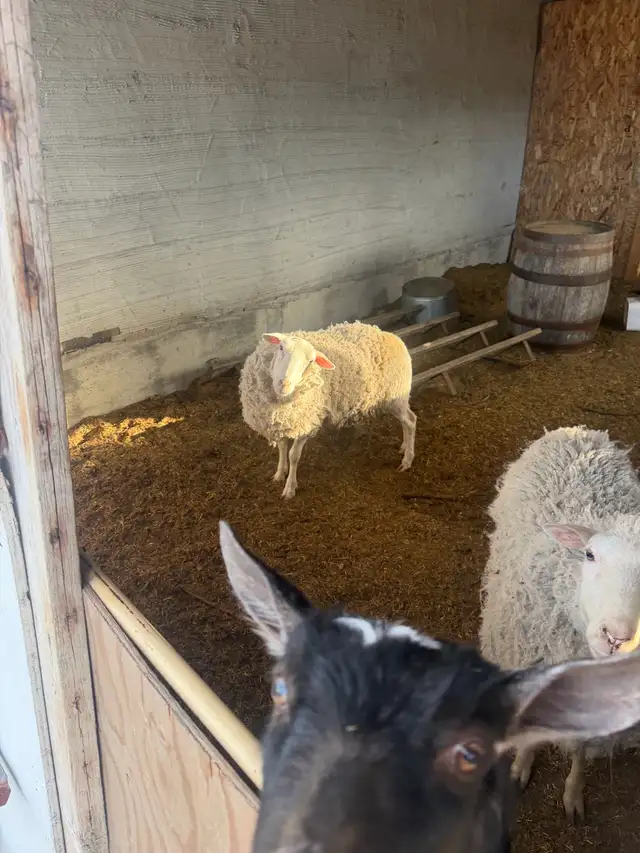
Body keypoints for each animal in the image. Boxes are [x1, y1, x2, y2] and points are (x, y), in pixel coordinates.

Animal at [239, 320, 416, 499]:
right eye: (281, 348)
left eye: (310, 362)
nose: (285, 384)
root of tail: (392, 336)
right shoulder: (282, 423)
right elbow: (282, 448)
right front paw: (280, 473)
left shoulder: (307, 423)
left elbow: (293, 455)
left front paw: (290, 488)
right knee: (407, 420)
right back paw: (404, 447)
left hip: (396, 395)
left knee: (410, 421)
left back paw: (407, 460)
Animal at [479, 425, 640, 822]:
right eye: (590, 554)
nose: (617, 638)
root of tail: (579, 431)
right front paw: (521, 766)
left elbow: (580, 751)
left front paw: (573, 793)